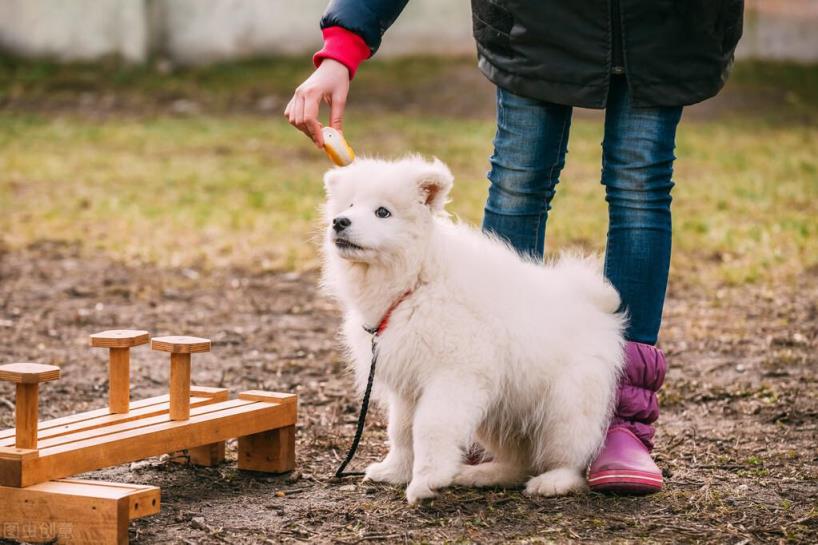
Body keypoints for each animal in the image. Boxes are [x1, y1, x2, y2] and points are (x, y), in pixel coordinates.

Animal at [320, 153, 624, 502]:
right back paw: (482, 474)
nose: (340, 222)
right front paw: (394, 471)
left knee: (570, 456)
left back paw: (554, 481)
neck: (417, 280)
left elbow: (430, 427)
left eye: (383, 212)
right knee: (519, 462)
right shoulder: (408, 382)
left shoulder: (454, 374)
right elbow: (401, 430)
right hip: (500, 411)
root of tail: (595, 305)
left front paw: (426, 481)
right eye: (350, 205)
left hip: (566, 406)